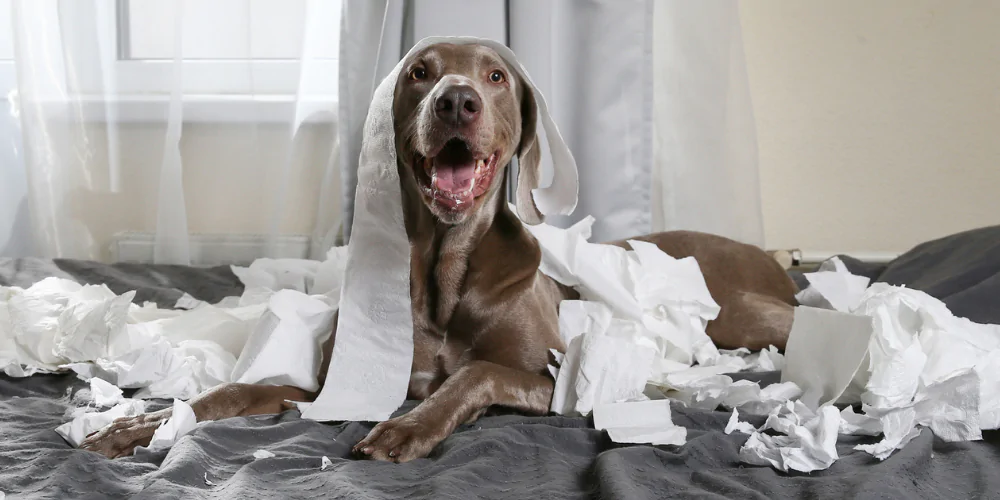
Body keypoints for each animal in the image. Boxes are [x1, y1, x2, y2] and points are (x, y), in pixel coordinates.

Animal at [76, 43, 796, 460]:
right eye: (420, 73)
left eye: (496, 75)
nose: (456, 100)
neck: (445, 270)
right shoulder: (331, 384)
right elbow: (231, 390)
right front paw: (142, 425)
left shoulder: (556, 379)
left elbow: (474, 374)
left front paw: (408, 426)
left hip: (742, 316)